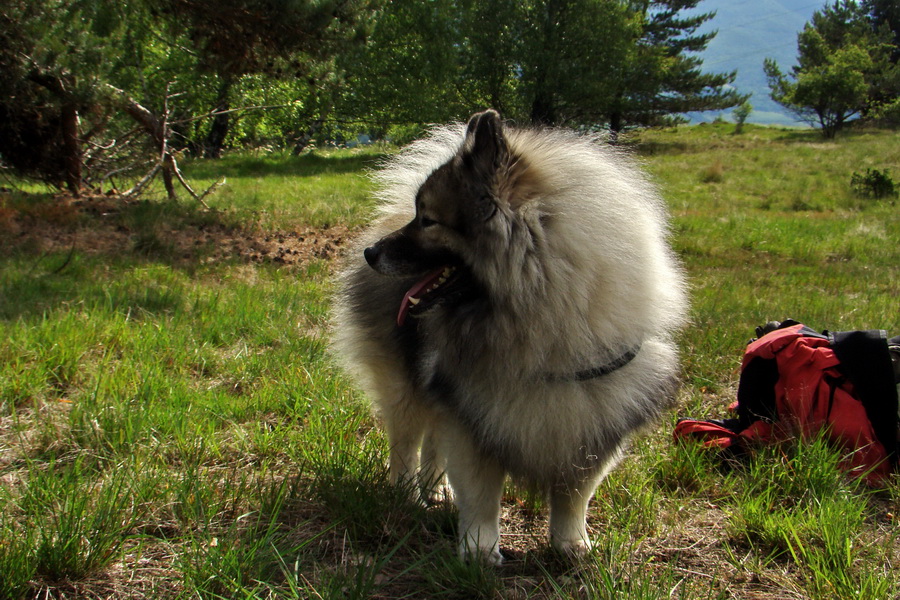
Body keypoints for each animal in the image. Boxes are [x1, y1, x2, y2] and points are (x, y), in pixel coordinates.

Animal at [332, 110, 688, 564]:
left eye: (428, 220)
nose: (371, 253)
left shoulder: (592, 427)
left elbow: (574, 495)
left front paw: (571, 544)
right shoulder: (473, 420)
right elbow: (482, 496)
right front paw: (480, 550)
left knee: (431, 443)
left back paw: (435, 491)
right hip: (403, 386)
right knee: (406, 442)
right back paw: (405, 495)